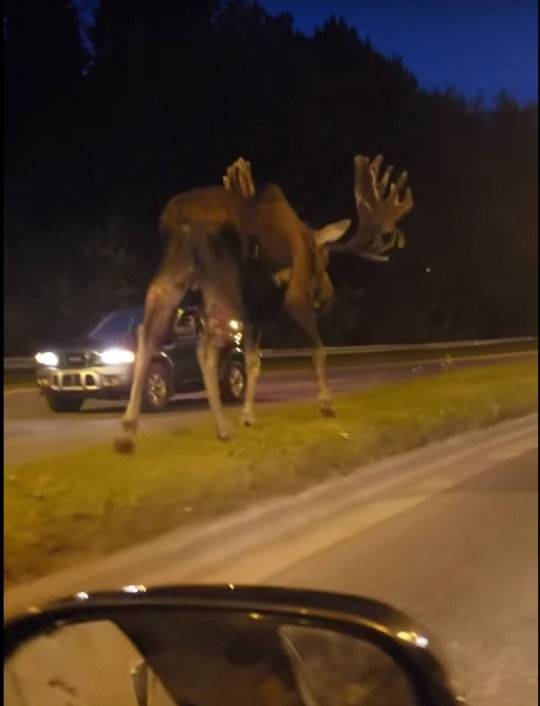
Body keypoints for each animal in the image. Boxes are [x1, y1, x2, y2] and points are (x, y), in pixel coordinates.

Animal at [112, 154, 412, 452]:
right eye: (323, 260)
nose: (327, 296)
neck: (304, 238)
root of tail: (178, 217)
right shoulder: (295, 301)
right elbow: (318, 349)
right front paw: (326, 403)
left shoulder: (253, 316)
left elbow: (253, 362)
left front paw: (247, 415)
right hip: (224, 285)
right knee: (205, 348)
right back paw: (222, 428)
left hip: (173, 275)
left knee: (147, 333)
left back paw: (127, 431)